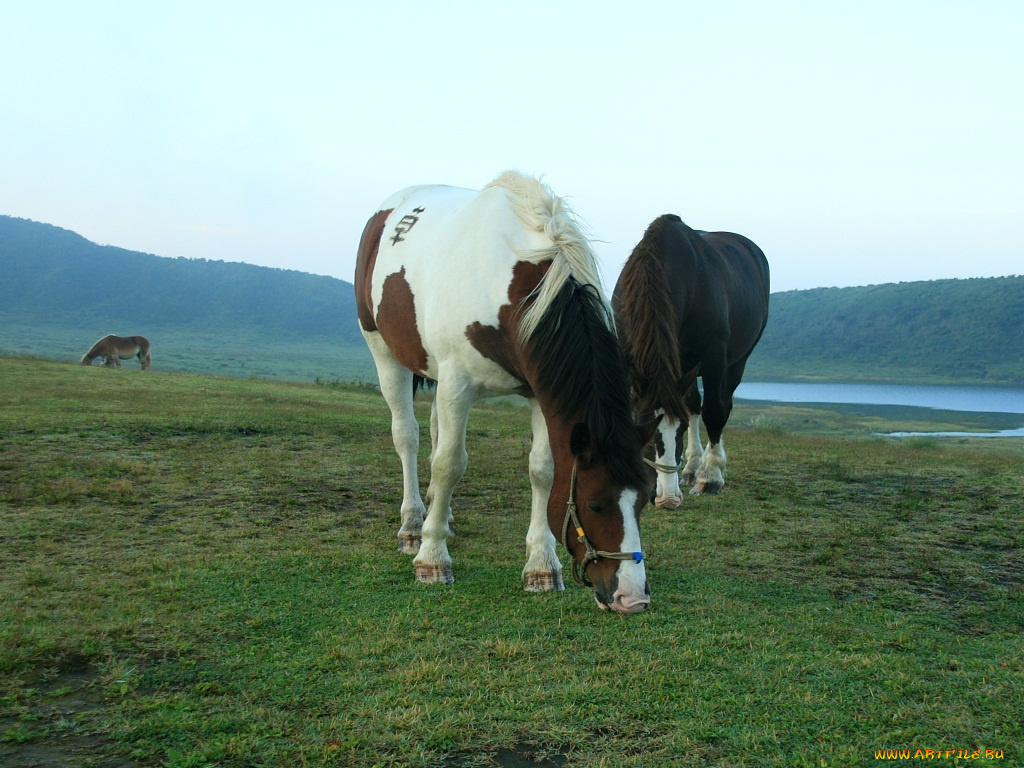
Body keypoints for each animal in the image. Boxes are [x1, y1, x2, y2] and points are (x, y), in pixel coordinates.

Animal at [356, 171, 651, 618]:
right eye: (596, 504)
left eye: (644, 501)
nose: (631, 598)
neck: (511, 287)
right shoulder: (458, 383)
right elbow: (450, 464)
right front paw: (432, 558)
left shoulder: (538, 392)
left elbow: (542, 470)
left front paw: (542, 566)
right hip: (384, 351)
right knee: (407, 436)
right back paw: (412, 525)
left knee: (435, 430)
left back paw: (441, 515)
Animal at [606, 215, 770, 505]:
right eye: (643, 428)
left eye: (679, 431)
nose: (667, 498)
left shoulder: (714, 358)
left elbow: (714, 412)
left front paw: (711, 478)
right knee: (692, 403)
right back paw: (692, 468)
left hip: (735, 363)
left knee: (722, 404)